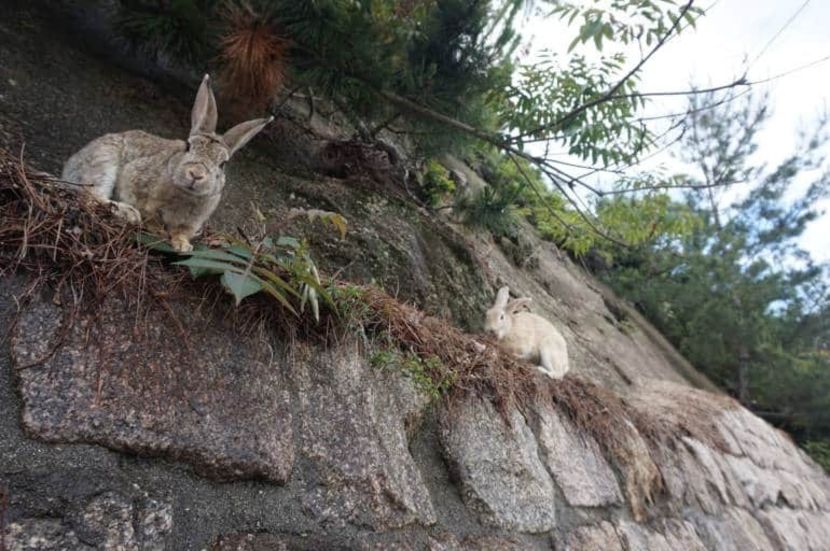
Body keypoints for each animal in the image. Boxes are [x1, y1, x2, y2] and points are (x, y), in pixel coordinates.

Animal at [62, 75, 270, 252]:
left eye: (223, 164)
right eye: (188, 146)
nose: (195, 174)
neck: (185, 194)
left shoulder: (190, 224)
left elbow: (180, 233)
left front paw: (183, 246)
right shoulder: (136, 186)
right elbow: (149, 215)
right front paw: (156, 230)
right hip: (103, 160)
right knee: (89, 194)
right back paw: (128, 213)